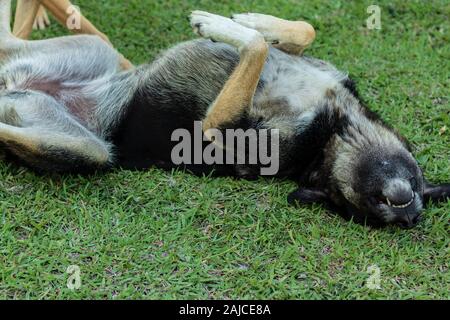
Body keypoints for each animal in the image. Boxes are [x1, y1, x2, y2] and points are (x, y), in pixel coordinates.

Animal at [0, 1, 448, 228]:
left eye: (374, 209)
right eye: (414, 185)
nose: (401, 200)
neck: (329, 131)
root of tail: (14, 85)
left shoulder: (216, 131)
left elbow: (257, 48)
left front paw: (222, 24)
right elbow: (302, 32)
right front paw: (252, 21)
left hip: (87, 150)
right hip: (94, 52)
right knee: (10, 36)